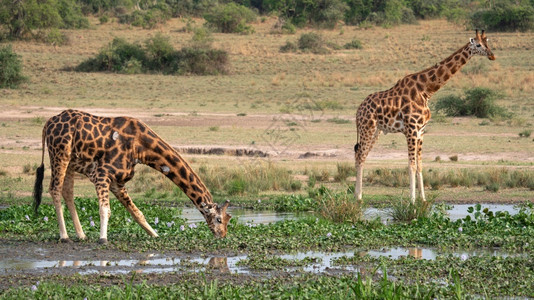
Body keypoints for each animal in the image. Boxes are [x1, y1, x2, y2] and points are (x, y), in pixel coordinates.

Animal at [33, 109, 230, 243]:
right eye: (219, 219)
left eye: (228, 219)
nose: (222, 235)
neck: (140, 147)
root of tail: (46, 124)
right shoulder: (101, 174)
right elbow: (105, 209)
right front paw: (103, 239)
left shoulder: (117, 182)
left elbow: (137, 213)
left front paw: (155, 235)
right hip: (60, 154)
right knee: (55, 189)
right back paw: (64, 236)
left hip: (71, 162)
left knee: (68, 192)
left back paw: (81, 235)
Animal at [356, 29, 498, 203]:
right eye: (478, 45)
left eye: (487, 43)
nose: (492, 55)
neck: (426, 91)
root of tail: (358, 110)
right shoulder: (411, 129)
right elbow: (411, 165)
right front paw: (411, 201)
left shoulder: (421, 131)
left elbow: (420, 165)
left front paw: (422, 199)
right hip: (367, 128)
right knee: (360, 156)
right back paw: (358, 197)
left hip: (376, 130)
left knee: (361, 154)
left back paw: (358, 195)